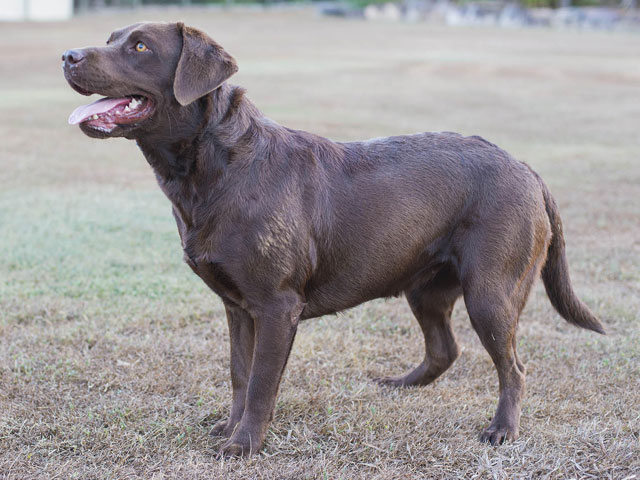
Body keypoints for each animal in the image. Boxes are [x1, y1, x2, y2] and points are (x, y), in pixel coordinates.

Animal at [62, 21, 604, 458]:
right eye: (111, 38)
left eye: (139, 46)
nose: (67, 55)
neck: (215, 167)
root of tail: (528, 169)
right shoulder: (237, 307)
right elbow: (239, 374)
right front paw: (230, 428)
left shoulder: (276, 306)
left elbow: (260, 382)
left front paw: (245, 444)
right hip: (425, 287)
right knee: (444, 350)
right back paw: (401, 385)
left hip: (490, 293)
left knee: (513, 367)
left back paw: (502, 430)